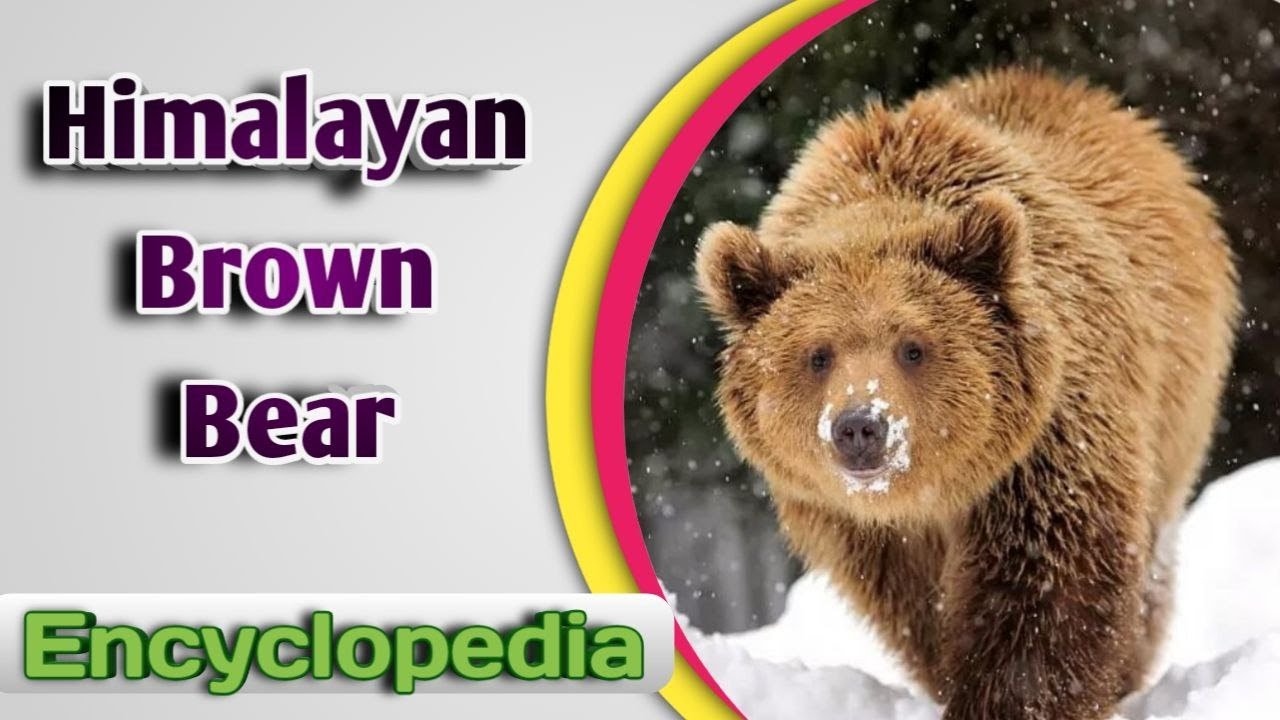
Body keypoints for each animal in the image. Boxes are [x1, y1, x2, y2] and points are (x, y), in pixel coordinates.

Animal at [694, 67, 1239, 720]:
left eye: (912, 346)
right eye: (817, 353)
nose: (861, 425)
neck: (934, 491)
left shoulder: (1048, 452)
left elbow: (1043, 592)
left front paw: (1013, 697)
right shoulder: (864, 531)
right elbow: (917, 609)